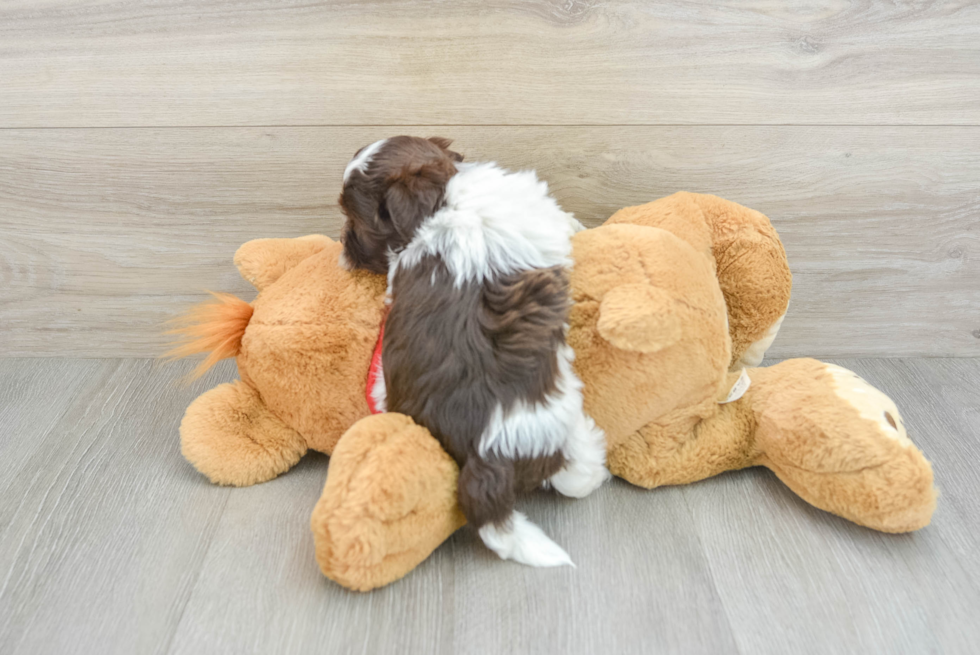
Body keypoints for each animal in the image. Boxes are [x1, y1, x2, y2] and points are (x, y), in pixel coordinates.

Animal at [340, 136, 608, 568]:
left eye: (355, 221)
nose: (343, 250)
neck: (445, 203)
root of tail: (485, 454)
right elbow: (563, 221)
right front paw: (580, 226)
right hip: (564, 426)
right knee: (577, 476)